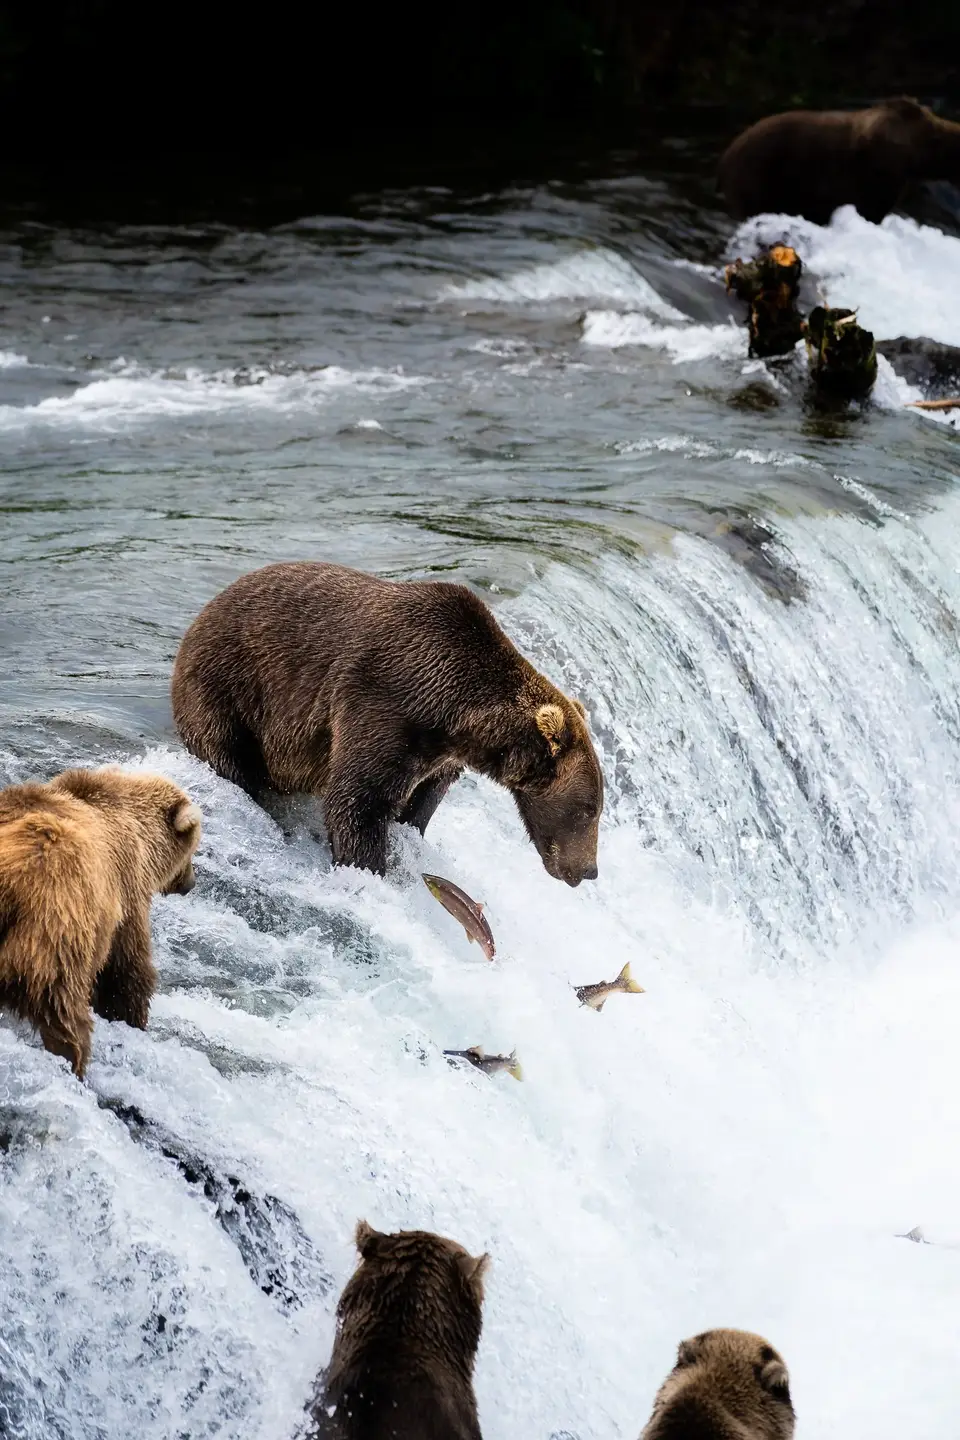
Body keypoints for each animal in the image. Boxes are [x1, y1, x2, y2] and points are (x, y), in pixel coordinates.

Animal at [0, 766, 202, 1078]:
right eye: (193, 849)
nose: (191, 883)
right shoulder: (126, 892)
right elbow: (127, 968)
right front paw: (133, 1016)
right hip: (55, 927)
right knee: (63, 1006)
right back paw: (74, 1060)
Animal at [171, 561, 603, 885]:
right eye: (589, 810)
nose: (589, 871)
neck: (454, 713)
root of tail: (199, 617)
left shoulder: (439, 754)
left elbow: (422, 798)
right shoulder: (383, 701)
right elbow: (357, 799)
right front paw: (368, 867)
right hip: (229, 688)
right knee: (227, 755)